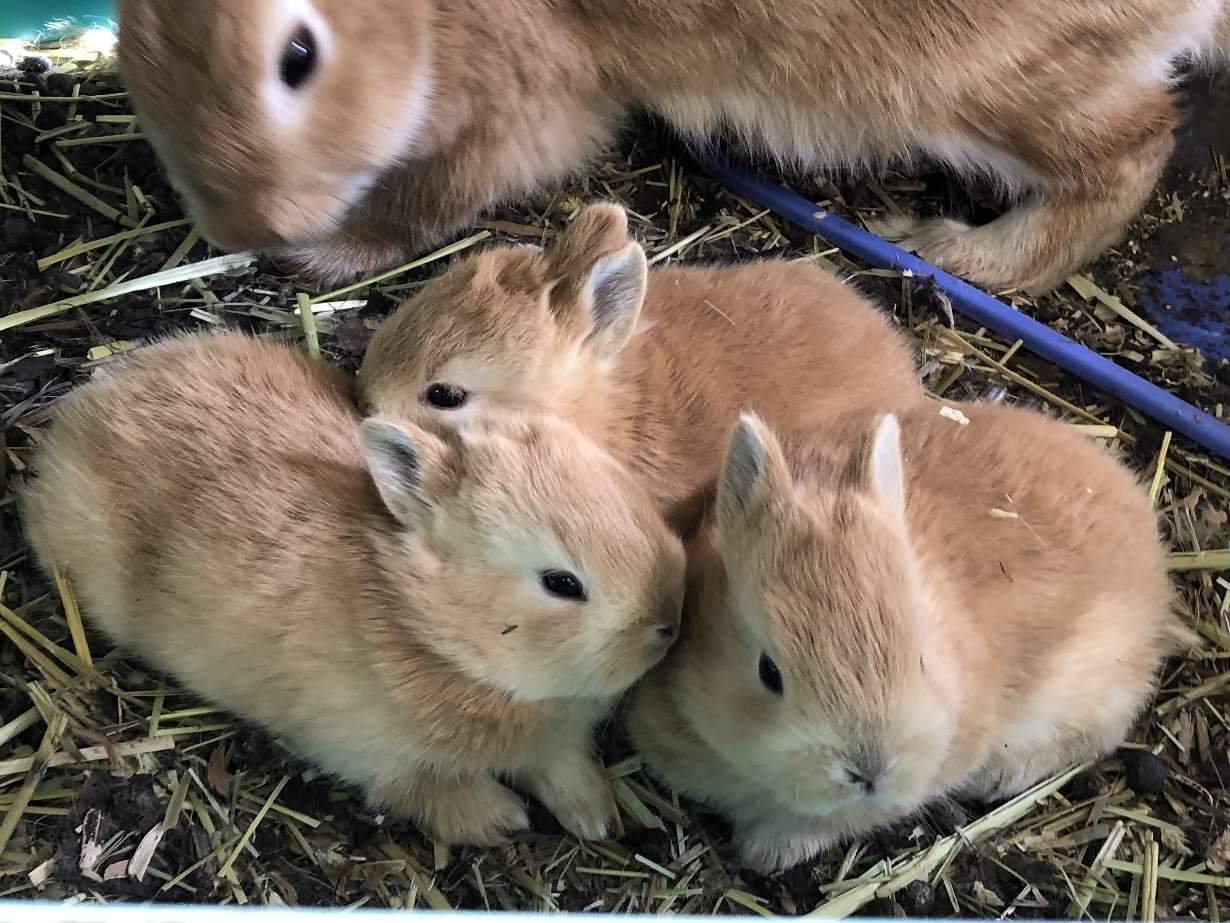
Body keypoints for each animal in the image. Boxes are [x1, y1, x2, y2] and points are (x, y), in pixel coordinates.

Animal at [19, 329, 688, 846]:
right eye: (561, 583)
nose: (667, 626)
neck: (427, 627)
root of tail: (87, 405)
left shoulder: (555, 743)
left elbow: (563, 768)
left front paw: (597, 817)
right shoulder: (370, 751)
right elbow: (426, 789)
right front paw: (501, 821)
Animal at [113, 0, 1220, 290]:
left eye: (297, 55)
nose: (241, 224)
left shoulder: (518, 103)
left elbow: (430, 200)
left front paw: (324, 257)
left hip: (982, 85)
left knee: (1135, 145)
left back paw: (968, 255)